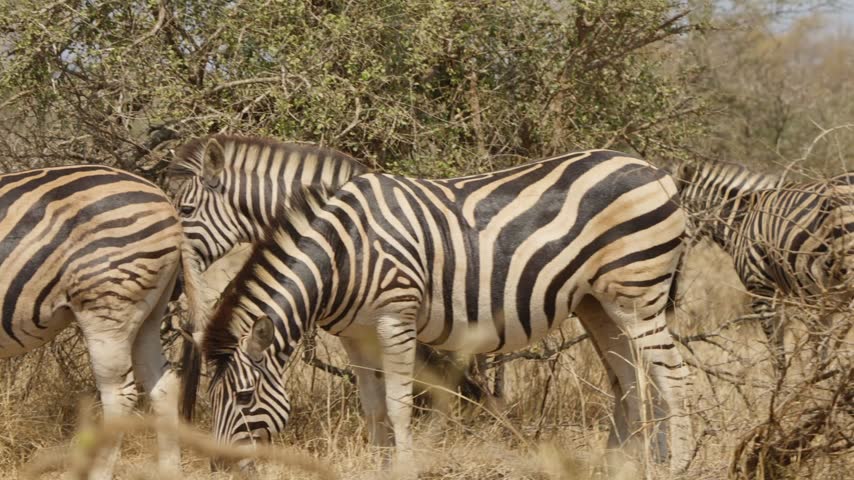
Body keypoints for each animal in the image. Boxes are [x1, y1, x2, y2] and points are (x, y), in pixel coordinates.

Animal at [0, 165, 193, 479]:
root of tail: (165, 200)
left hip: (107, 306)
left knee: (119, 394)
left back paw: (99, 472)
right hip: (149, 312)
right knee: (163, 383)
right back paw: (170, 470)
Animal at [187, 150, 695, 472]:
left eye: (244, 398)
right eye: (211, 399)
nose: (219, 469)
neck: (344, 252)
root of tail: (656, 170)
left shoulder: (396, 319)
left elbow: (398, 406)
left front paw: (404, 468)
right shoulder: (356, 335)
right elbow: (372, 409)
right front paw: (379, 466)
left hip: (638, 296)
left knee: (674, 375)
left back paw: (678, 462)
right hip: (598, 304)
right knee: (630, 378)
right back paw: (622, 464)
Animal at [663, 159, 854, 371]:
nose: (670, 304)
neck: (741, 220)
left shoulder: (762, 290)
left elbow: (779, 355)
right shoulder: (814, 300)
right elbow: (820, 350)